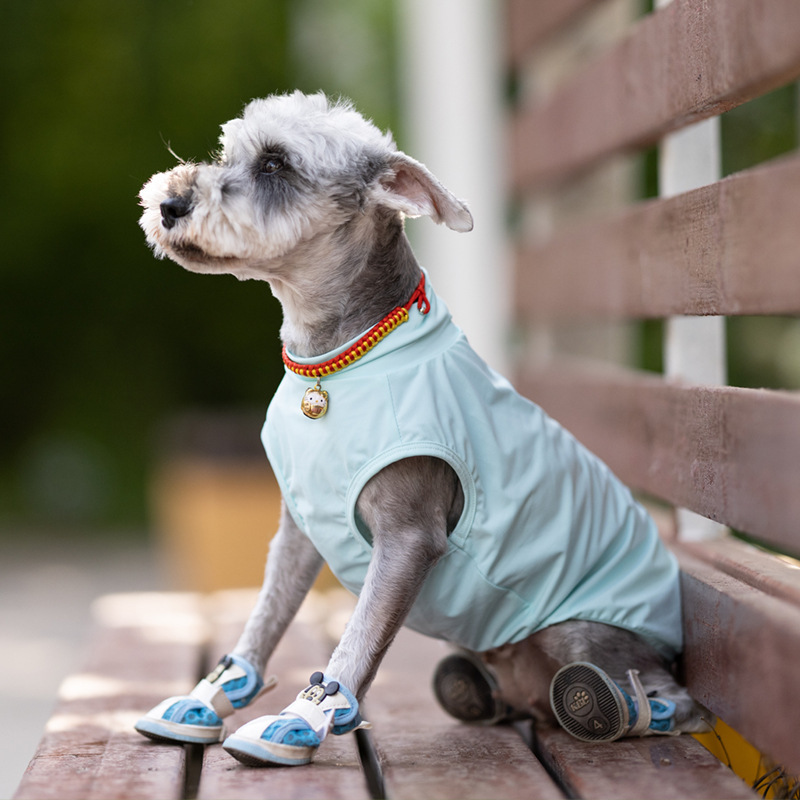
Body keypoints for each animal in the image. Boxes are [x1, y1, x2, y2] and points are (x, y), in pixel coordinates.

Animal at [134, 90, 708, 764]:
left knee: (657, 697)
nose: (169, 203)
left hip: (579, 632)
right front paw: (211, 697)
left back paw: (623, 708)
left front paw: (303, 718)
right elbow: (267, 612)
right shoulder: (299, 529)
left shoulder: (407, 537)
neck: (335, 367)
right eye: (231, 152)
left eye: (276, 164)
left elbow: (358, 636)